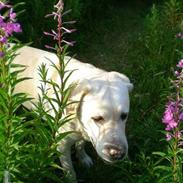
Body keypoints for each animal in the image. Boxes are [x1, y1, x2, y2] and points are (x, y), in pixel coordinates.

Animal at [13, 45, 133, 182]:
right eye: (97, 118)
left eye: (124, 116)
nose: (117, 153)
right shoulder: (62, 145)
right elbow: (70, 171)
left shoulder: (85, 131)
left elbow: (80, 145)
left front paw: (83, 158)